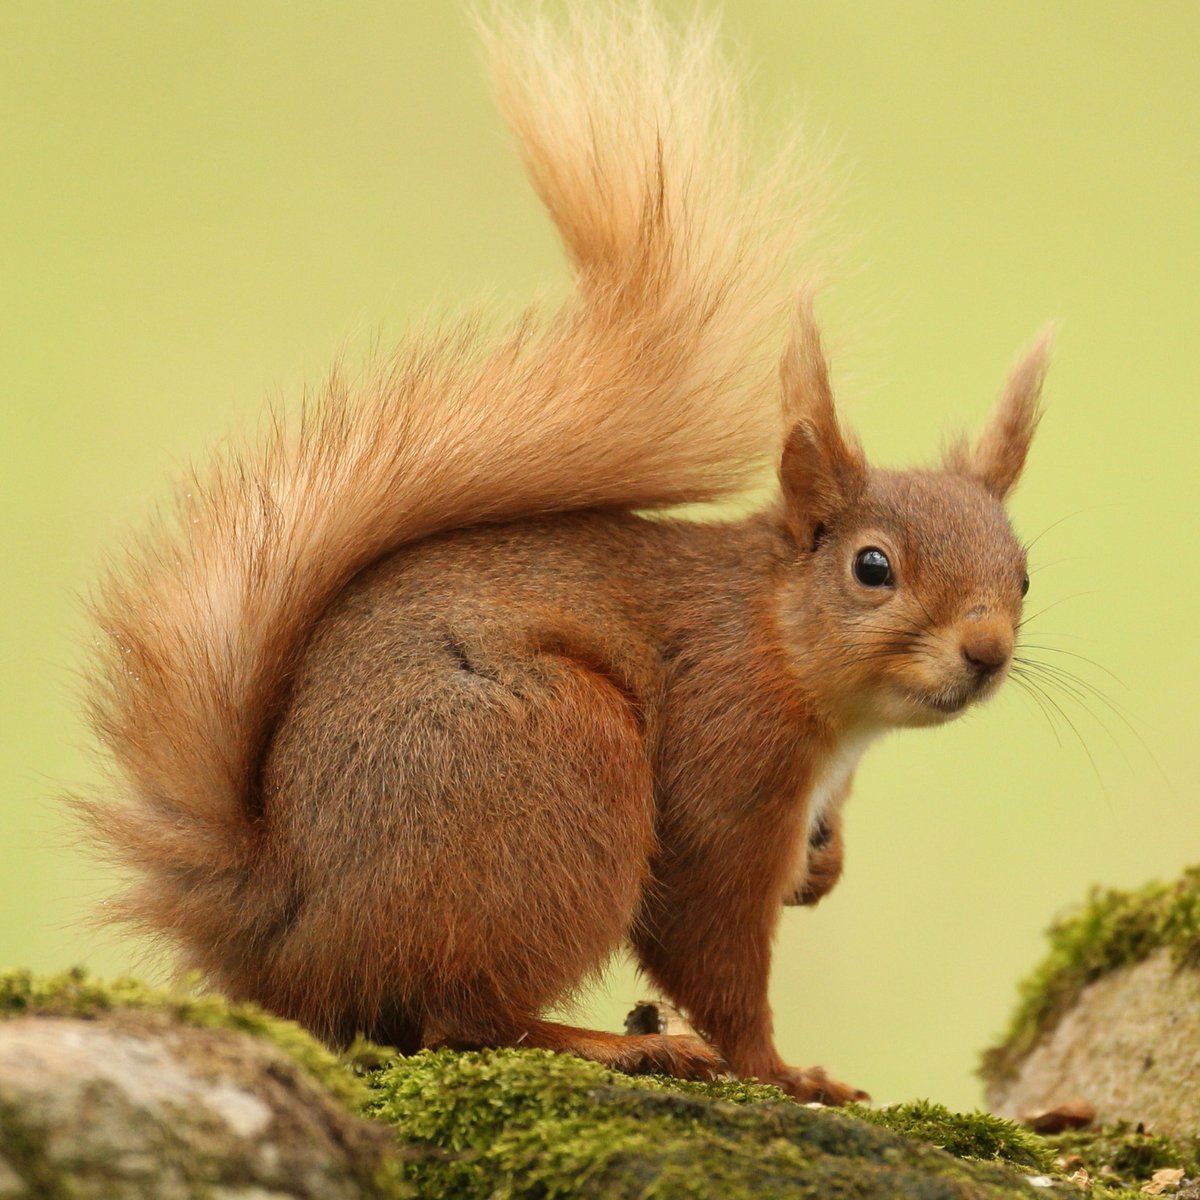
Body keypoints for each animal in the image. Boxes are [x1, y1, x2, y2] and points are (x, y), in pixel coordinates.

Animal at [73, 4, 1050, 1105]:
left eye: (1024, 574)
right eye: (872, 568)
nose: (987, 651)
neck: (783, 650)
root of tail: (288, 937)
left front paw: (823, 868)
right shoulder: (724, 758)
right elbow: (709, 940)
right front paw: (785, 1071)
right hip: (556, 779)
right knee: (461, 1020)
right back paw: (620, 1043)